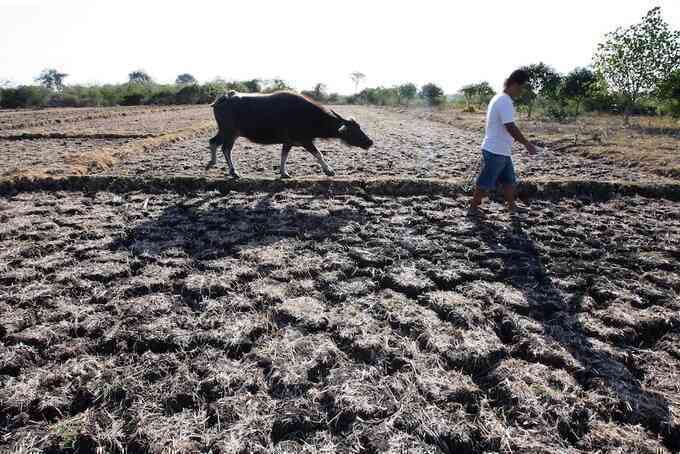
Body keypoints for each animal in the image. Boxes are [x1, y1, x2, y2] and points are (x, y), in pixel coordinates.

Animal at [207, 90, 372, 177]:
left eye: (359, 127)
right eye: (353, 130)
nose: (370, 142)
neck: (309, 116)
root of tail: (222, 99)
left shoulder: (288, 142)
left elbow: (284, 156)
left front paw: (283, 172)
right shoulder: (305, 141)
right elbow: (319, 154)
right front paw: (329, 170)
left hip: (225, 131)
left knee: (213, 142)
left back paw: (212, 163)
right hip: (230, 132)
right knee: (226, 149)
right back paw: (233, 171)